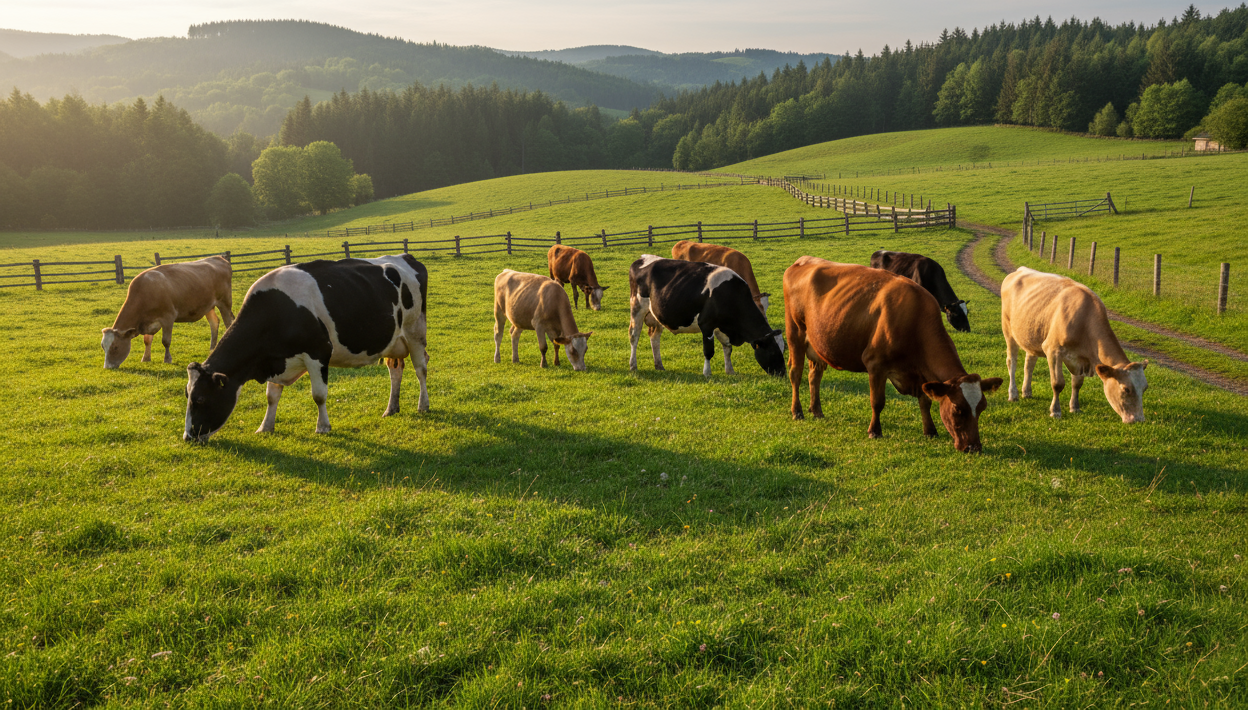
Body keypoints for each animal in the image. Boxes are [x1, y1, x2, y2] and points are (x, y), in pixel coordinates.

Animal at [101, 255, 234, 369]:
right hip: (208, 306)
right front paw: (146, 358)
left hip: (225, 303)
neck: (145, 293)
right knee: (214, 323)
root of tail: (218, 258)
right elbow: (147, 341)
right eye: (103, 346)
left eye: (115, 347)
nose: (107, 367)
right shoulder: (148, 322)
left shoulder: (168, 318)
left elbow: (166, 341)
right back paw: (212, 348)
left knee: (228, 323)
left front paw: (167, 359)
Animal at [183, 255, 429, 443]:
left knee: (421, 369)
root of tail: (404, 257)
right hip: (394, 341)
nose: (188, 437)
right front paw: (265, 427)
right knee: (395, 370)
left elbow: (318, 395)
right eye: (187, 395)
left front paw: (323, 427)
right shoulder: (276, 358)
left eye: (200, 399)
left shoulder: (318, 353)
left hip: (415, 331)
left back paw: (423, 404)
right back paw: (391, 408)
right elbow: (271, 396)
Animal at [628, 255, 785, 378]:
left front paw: (730, 370)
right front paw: (707, 373)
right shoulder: (706, 325)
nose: (783, 372)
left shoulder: (721, 327)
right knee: (634, 336)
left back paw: (659, 365)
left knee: (654, 337)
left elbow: (728, 348)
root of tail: (642, 258)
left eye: (783, 349)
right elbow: (709, 351)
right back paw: (633, 365)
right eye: (772, 350)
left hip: (657, 315)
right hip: (637, 307)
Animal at [784, 256, 1002, 453]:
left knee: (814, 376)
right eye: (958, 409)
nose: (974, 448)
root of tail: (802, 261)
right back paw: (797, 411)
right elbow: (877, 402)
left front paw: (930, 431)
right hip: (795, 333)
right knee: (795, 374)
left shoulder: (920, 375)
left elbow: (925, 401)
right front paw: (874, 431)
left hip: (818, 345)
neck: (915, 320)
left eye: (982, 407)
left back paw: (817, 411)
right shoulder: (875, 365)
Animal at [1001, 267, 1148, 422]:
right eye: (1126, 389)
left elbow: (1077, 383)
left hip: (1032, 334)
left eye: (1145, 388)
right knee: (1012, 362)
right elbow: (1057, 384)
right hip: (1008, 329)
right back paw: (1013, 394)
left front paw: (1075, 407)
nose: (1139, 420)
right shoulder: (1053, 350)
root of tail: (1020, 269)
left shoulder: (1080, 358)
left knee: (1029, 364)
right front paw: (1055, 411)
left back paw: (1027, 392)